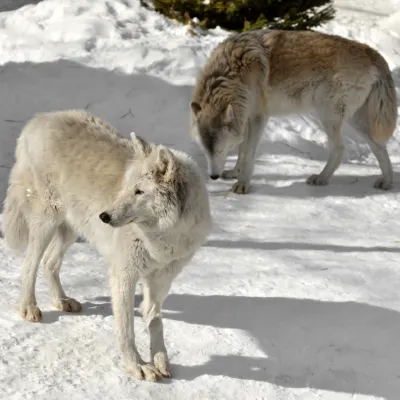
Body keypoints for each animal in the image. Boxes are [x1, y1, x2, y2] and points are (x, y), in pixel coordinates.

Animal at [2, 109, 212, 382]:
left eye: (139, 191)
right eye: (126, 188)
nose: (104, 216)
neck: (165, 234)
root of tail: (39, 119)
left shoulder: (161, 280)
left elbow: (155, 320)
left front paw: (160, 360)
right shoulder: (123, 275)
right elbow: (127, 329)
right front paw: (137, 366)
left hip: (72, 229)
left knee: (49, 263)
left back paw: (62, 301)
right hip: (46, 223)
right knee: (29, 265)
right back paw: (29, 308)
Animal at [190, 28, 396, 194]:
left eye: (220, 150)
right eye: (205, 150)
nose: (213, 177)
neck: (232, 75)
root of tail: (373, 53)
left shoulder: (258, 118)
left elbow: (248, 153)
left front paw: (243, 184)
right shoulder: (244, 118)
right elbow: (241, 150)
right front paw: (235, 172)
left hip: (328, 117)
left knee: (339, 149)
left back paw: (321, 178)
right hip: (356, 121)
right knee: (379, 146)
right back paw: (387, 182)